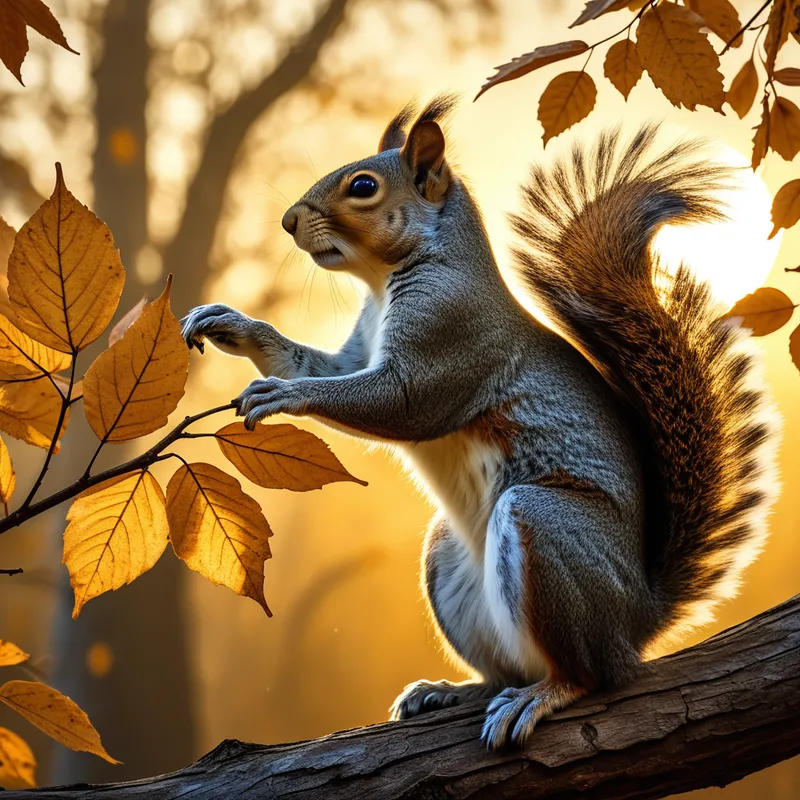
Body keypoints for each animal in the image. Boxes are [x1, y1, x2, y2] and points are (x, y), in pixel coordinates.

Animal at [181, 96, 778, 750]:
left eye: (363, 186)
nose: (289, 221)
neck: (386, 281)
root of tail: (637, 619)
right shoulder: (358, 349)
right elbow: (321, 364)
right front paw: (230, 324)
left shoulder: (450, 336)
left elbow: (397, 401)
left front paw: (284, 394)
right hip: (447, 563)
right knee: (502, 671)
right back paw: (452, 691)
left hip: (545, 527)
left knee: (590, 674)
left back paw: (544, 695)